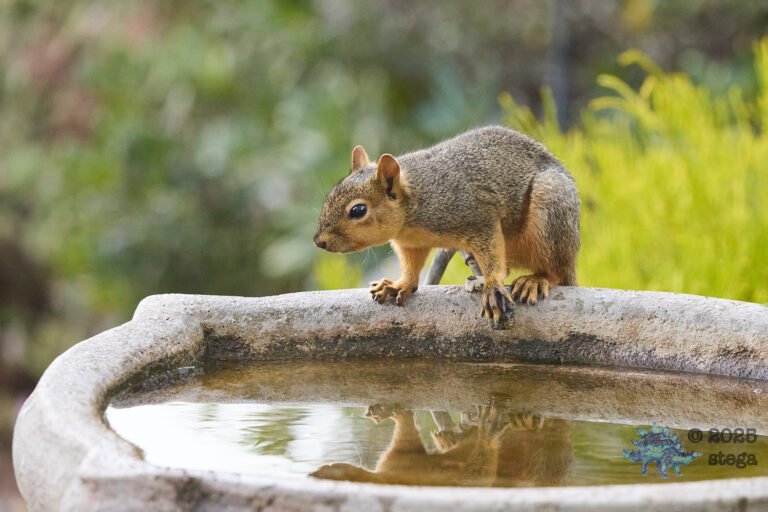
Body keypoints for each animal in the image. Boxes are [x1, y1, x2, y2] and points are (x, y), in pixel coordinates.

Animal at [314, 125, 580, 325]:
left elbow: (493, 258)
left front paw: (492, 285)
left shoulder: (478, 218)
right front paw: (399, 284)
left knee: (554, 271)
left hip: (550, 212)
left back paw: (534, 280)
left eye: (358, 210)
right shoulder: (411, 244)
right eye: (331, 194)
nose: (319, 241)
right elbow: (411, 268)